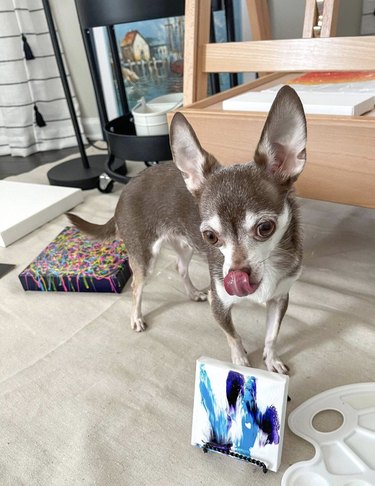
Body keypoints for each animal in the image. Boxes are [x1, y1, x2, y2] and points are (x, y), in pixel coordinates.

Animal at [68, 85, 308, 374]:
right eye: (211, 237)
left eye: (265, 228)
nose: (235, 276)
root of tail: (126, 189)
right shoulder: (220, 304)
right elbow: (233, 336)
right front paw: (240, 362)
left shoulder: (279, 298)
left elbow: (272, 335)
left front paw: (271, 359)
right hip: (145, 257)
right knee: (137, 285)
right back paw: (136, 317)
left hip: (184, 245)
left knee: (179, 267)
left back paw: (193, 293)